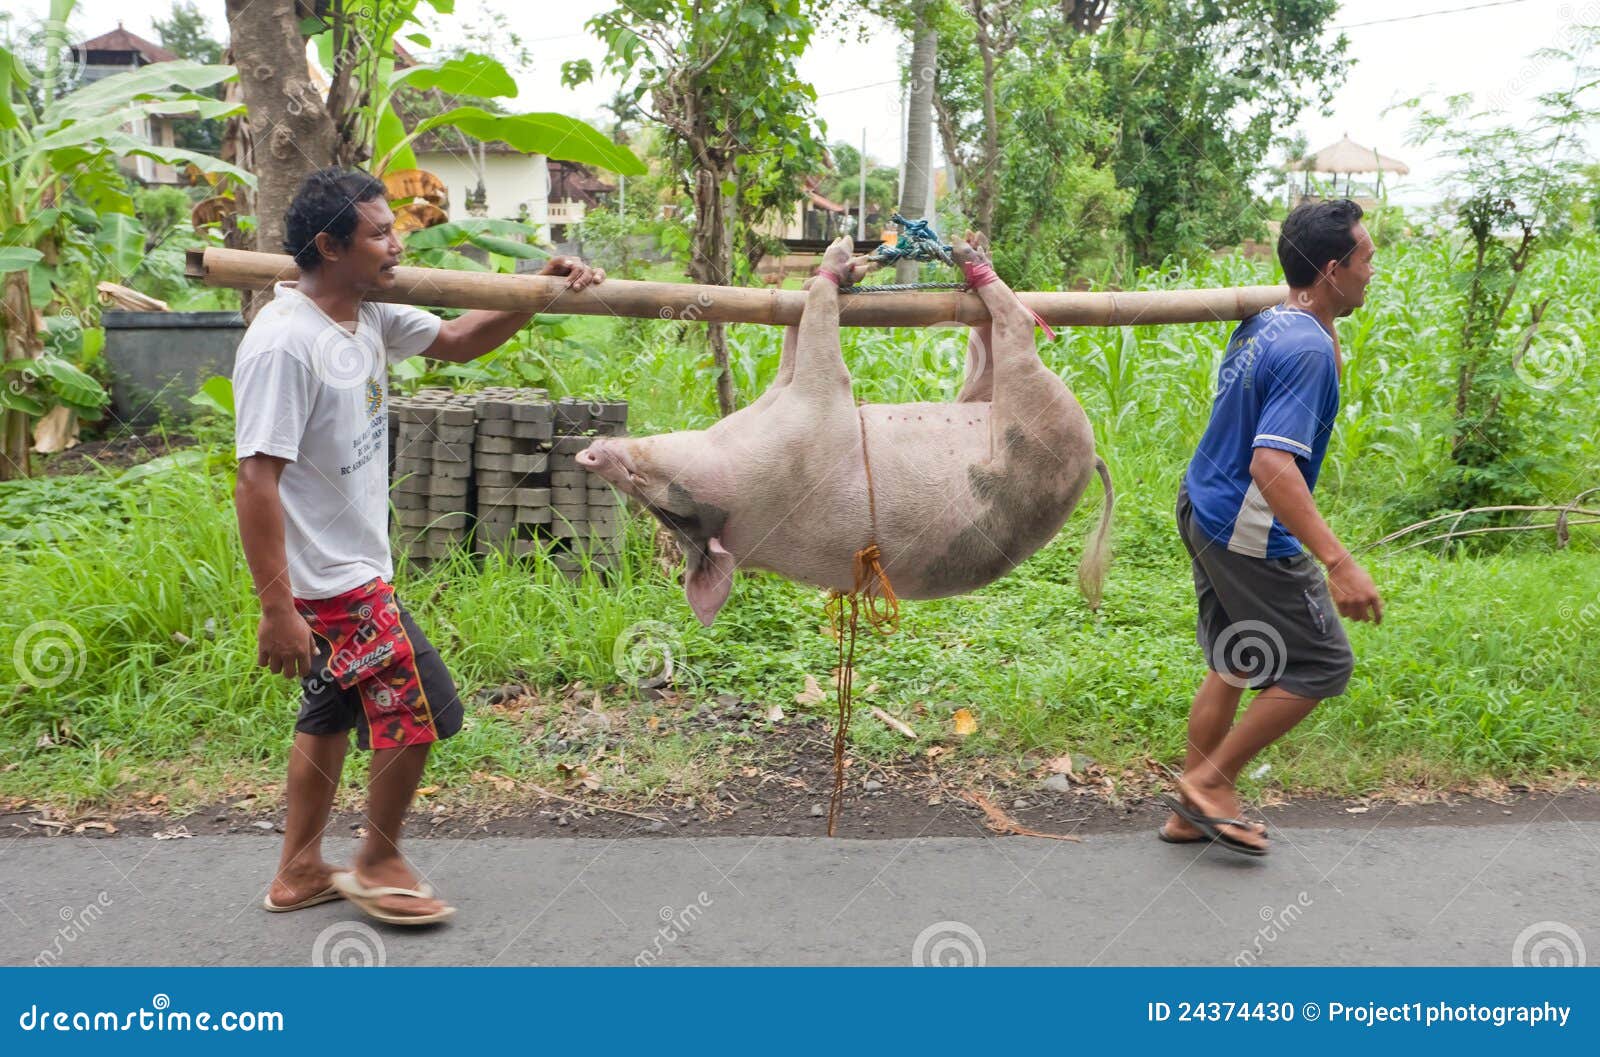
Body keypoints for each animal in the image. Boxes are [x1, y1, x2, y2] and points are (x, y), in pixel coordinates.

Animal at [576, 233, 1113, 626]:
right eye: (670, 511)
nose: (589, 455)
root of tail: (1093, 456)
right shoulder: (815, 413)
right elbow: (820, 342)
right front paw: (837, 259)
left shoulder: (787, 400)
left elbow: (795, 342)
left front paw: (842, 269)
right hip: (1041, 412)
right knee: (1015, 330)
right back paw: (973, 260)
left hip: (995, 402)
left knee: (987, 353)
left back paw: (973, 253)